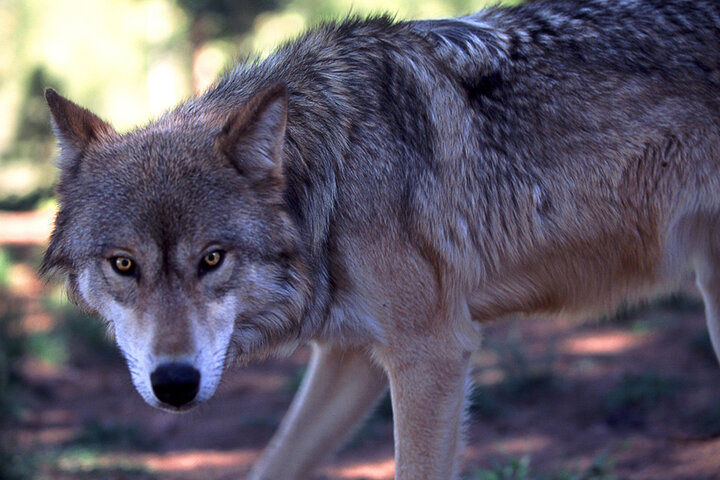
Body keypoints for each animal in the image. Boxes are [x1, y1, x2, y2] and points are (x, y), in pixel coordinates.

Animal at [43, 0, 720, 478]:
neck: (332, 178)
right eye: (123, 265)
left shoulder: (433, 354)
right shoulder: (350, 357)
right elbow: (275, 462)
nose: (175, 383)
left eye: (212, 259)